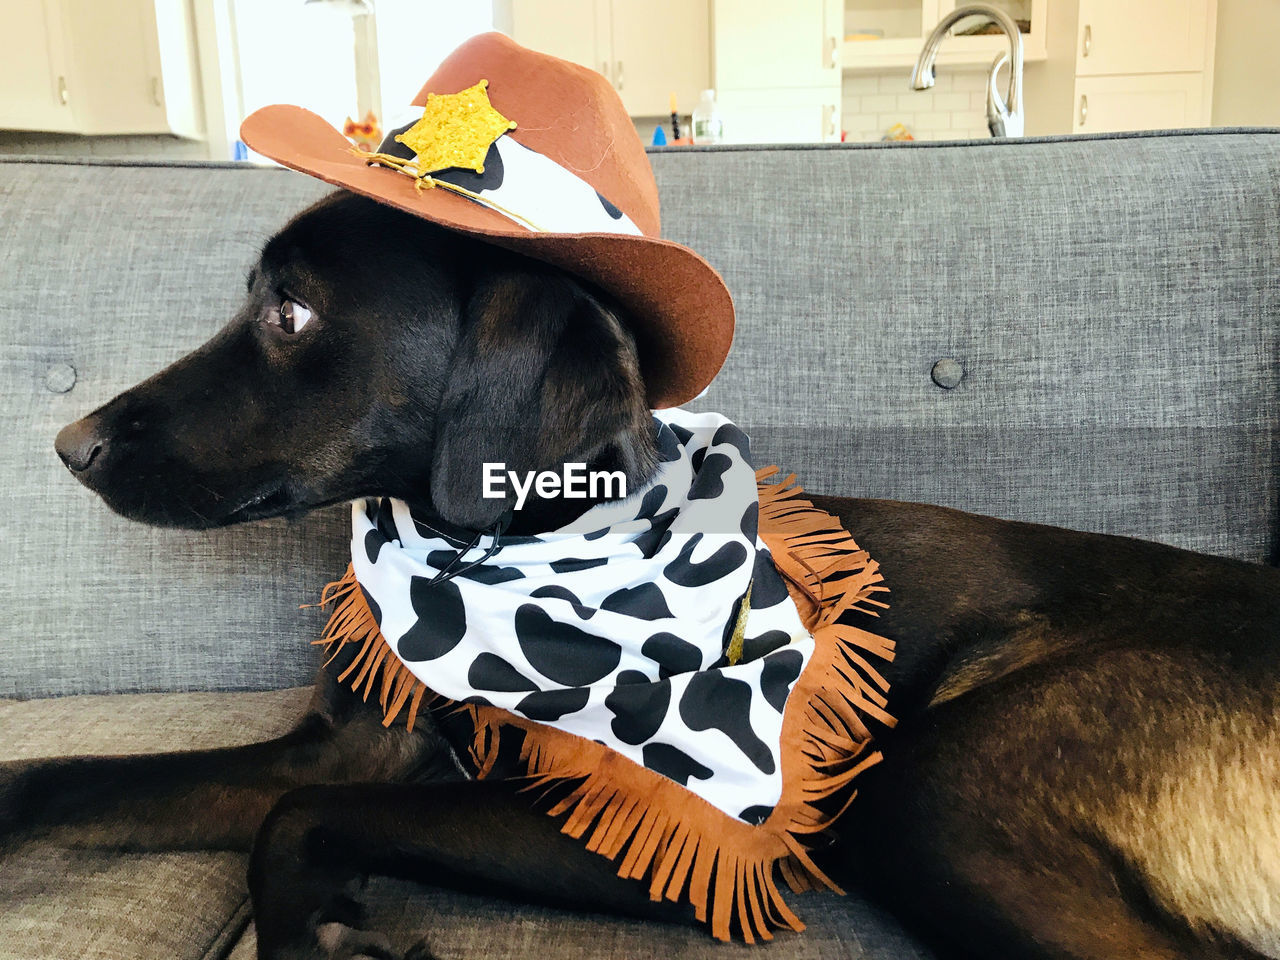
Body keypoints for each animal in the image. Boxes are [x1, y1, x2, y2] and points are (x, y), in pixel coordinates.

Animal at [10, 189, 1280, 960]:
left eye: (290, 310)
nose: (66, 445)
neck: (490, 560)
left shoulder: (683, 828)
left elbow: (300, 819)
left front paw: (316, 929)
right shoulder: (340, 748)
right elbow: (75, 779)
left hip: (932, 798)